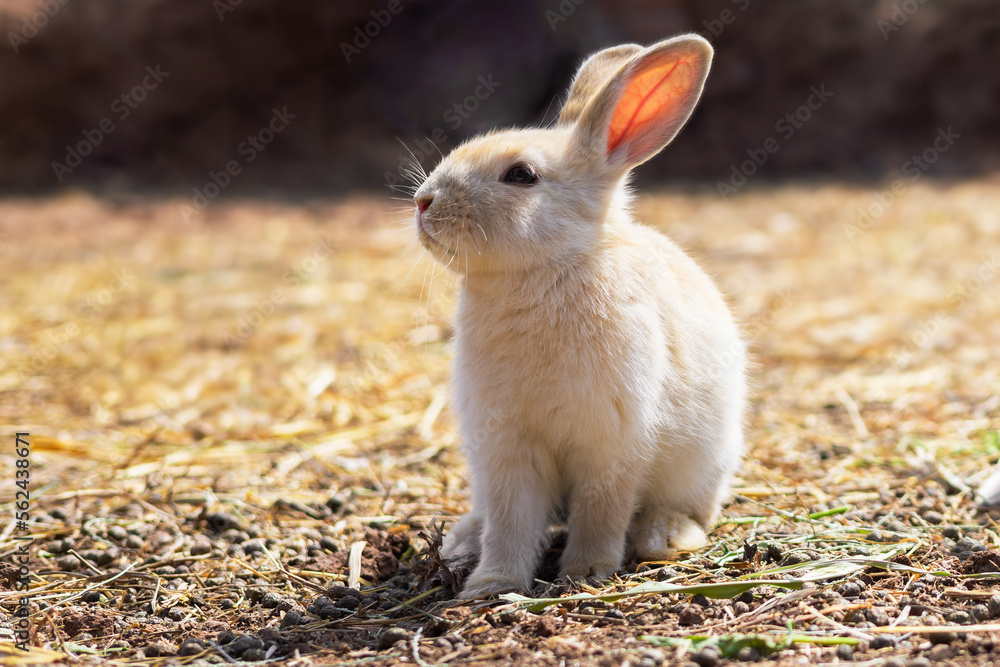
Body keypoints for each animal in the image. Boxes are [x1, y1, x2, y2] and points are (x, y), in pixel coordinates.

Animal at [410, 35, 748, 600]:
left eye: (521, 175)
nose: (423, 202)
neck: (546, 269)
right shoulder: (506, 447)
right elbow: (511, 522)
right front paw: (490, 586)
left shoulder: (611, 442)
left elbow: (601, 512)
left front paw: (585, 573)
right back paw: (461, 542)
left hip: (706, 463)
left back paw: (664, 537)